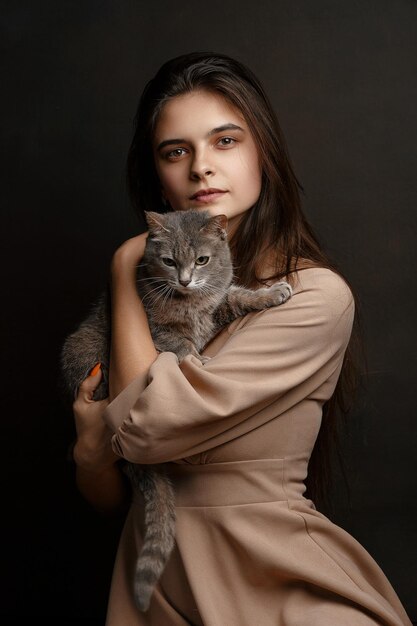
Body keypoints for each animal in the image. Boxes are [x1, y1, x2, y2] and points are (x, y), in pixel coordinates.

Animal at [61, 210, 292, 608]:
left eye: (202, 260)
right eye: (169, 262)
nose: (185, 279)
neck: (191, 300)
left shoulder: (217, 304)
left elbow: (238, 295)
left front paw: (270, 292)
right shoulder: (160, 330)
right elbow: (181, 346)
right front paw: (197, 360)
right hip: (89, 352)